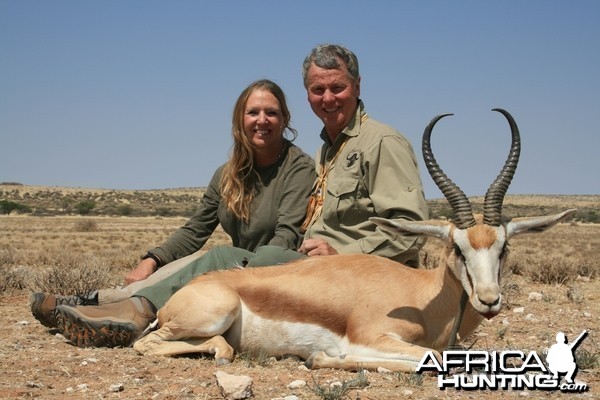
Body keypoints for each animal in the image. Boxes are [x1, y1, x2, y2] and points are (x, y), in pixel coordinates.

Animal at [132, 108, 576, 372]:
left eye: (503, 248)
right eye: (458, 249)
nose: (489, 300)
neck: (419, 295)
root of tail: (181, 294)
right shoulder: (372, 337)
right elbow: (428, 357)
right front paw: (324, 357)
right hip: (212, 315)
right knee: (153, 344)